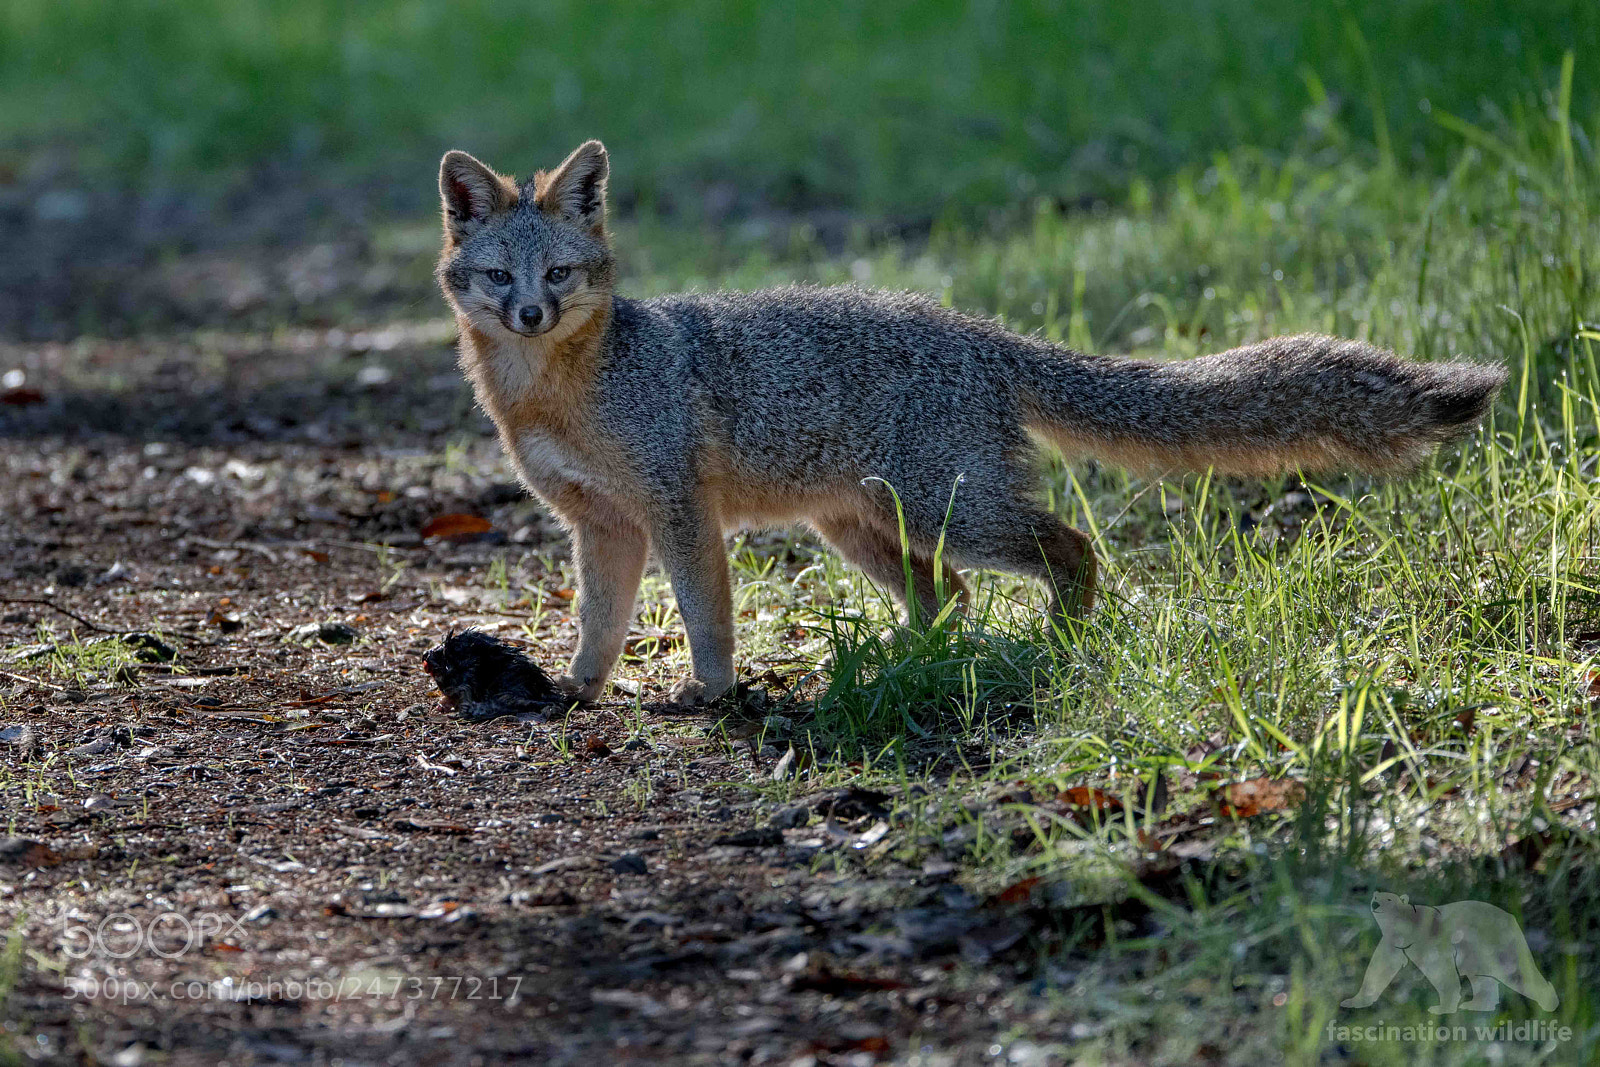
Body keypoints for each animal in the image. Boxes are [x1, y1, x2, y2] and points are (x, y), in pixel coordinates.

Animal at [435, 139, 1506, 707]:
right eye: (499, 275)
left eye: (558, 274)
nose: (527, 313)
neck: (559, 390)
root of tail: (980, 332)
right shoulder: (601, 523)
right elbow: (600, 621)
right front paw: (576, 690)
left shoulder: (674, 509)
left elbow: (705, 611)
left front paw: (712, 690)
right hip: (870, 526)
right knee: (947, 594)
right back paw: (916, 664)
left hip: (945, 511)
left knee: (1069, 546)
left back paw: (1061, 642)